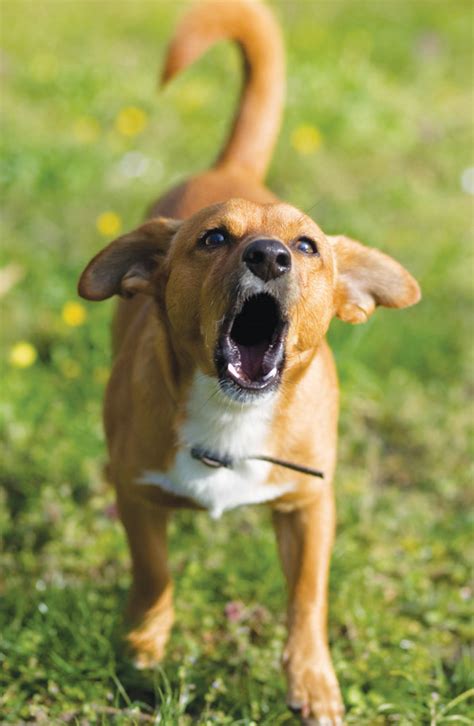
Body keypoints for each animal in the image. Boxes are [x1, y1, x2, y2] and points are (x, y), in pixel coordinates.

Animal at [78, 2, 422, 724]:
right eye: (212, 239)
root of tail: (232, 163)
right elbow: (153, 572)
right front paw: (144, 644)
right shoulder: (135, 489)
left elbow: (307, 599)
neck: (231, 418)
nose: (269, 255)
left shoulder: (310, 506)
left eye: (308, 245)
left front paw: (311, 681)